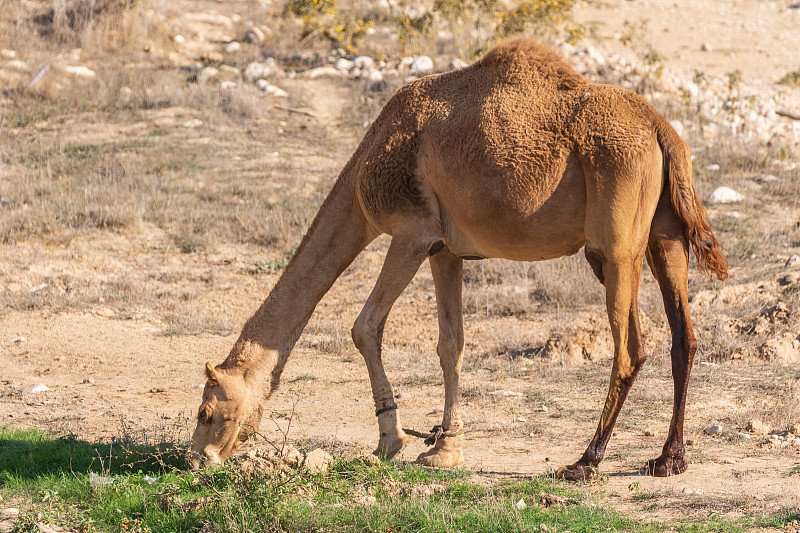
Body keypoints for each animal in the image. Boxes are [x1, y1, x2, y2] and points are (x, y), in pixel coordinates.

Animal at [191, 38, 728, 478]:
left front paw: (390, 442)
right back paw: (669, 459)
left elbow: (365, 326)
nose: (196, 459)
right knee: (684, 338)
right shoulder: (445, 250)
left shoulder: (411, 233)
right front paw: (445, 448)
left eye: (206, 412)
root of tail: (662, 130)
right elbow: (451, 344)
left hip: (614, 246)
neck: (369, 162)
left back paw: (584, 462)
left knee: (631, 348)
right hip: (664, 238)